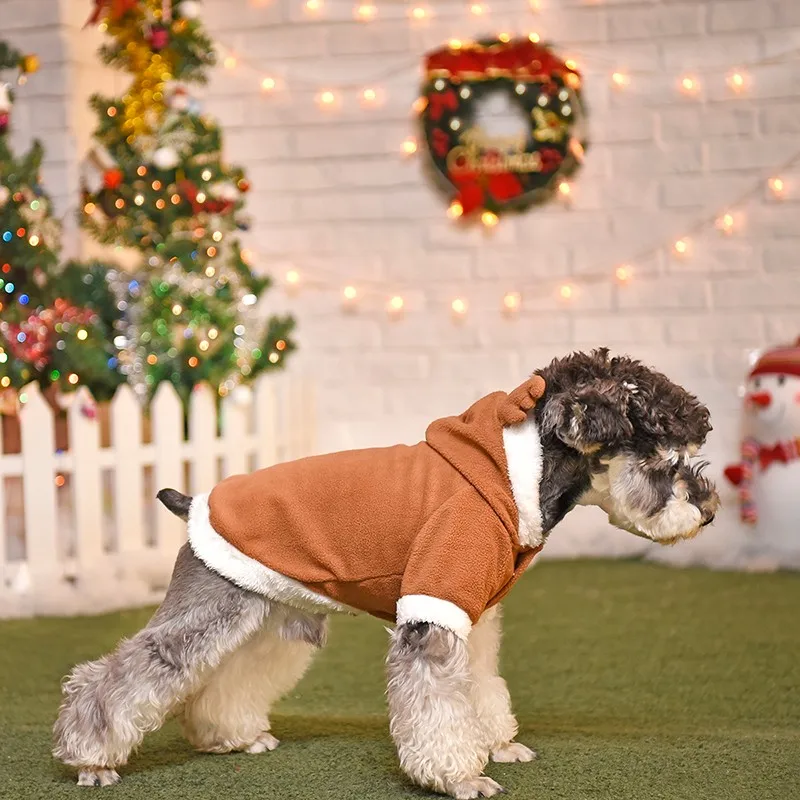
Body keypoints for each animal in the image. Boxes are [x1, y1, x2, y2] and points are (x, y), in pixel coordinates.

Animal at [53, 352, 720, 800]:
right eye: (662, 460)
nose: (710, 510)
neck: (518, 477)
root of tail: (193, 501)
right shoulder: (434, 613)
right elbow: (437, 707)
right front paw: (462, 777)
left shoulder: (473, 616)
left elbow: (481, 688)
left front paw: (498, 744)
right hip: (211, 610)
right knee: (122, 674)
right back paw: (90, 758)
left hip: (269, 617)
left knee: (225, 680)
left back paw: (232, 736)